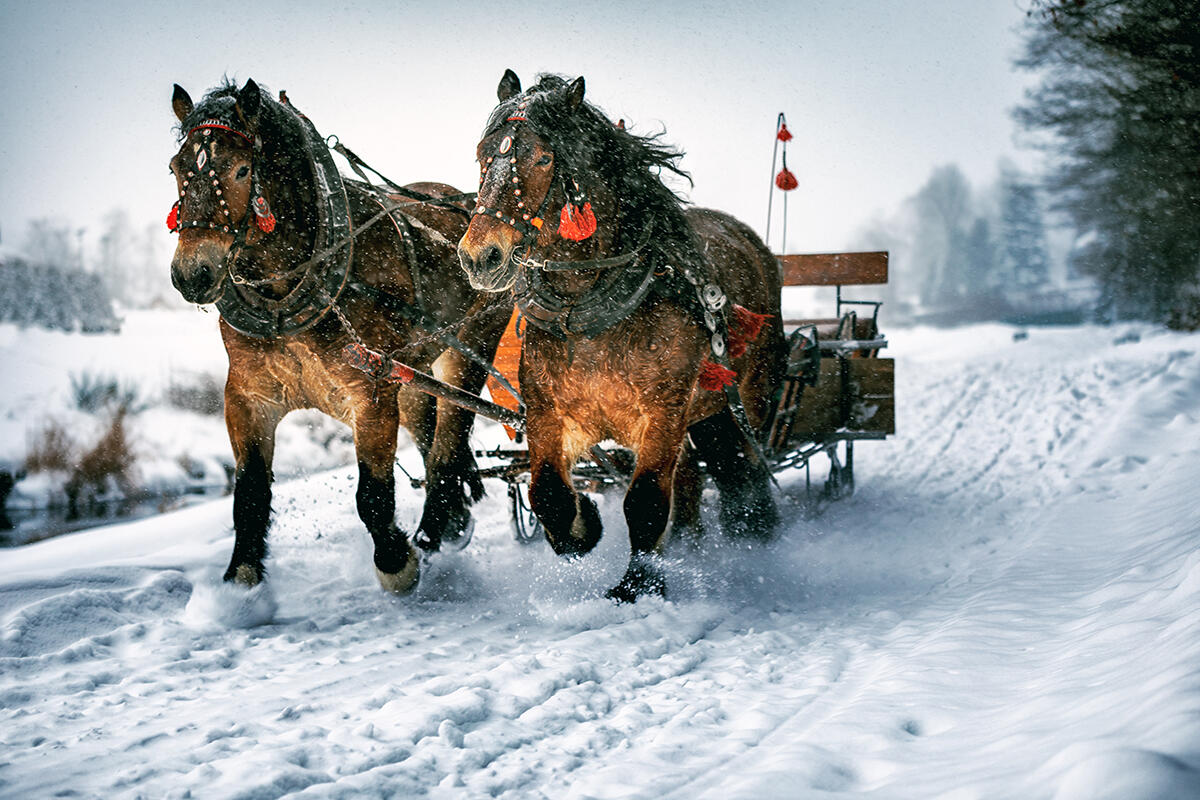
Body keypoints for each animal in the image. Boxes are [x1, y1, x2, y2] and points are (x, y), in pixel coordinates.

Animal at [169, 79, 506, 594]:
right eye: (176, 168)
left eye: (242, 169)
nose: (192, 272)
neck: (289, 297)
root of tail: (469, 203)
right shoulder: (248, 396)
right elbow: (248, 494)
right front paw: (241, 577)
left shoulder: (369, 393)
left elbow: (372, 494)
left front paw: (396, 562)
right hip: (412, 373)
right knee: (431, 436)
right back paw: (451, 521)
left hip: (471, 345)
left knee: (449, 443)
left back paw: (432, 532)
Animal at [453, 71, 782, 599]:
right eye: (482, 154)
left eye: (543, 158)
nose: (480, 256)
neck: (592, 312)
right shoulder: (550, 413)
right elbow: (548, 494)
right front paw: (584, 526)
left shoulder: (662, 411)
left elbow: (644, 499)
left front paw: (638, 585)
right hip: (708, 407)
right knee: (699, 474)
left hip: (751, 392)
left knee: (746, 460)